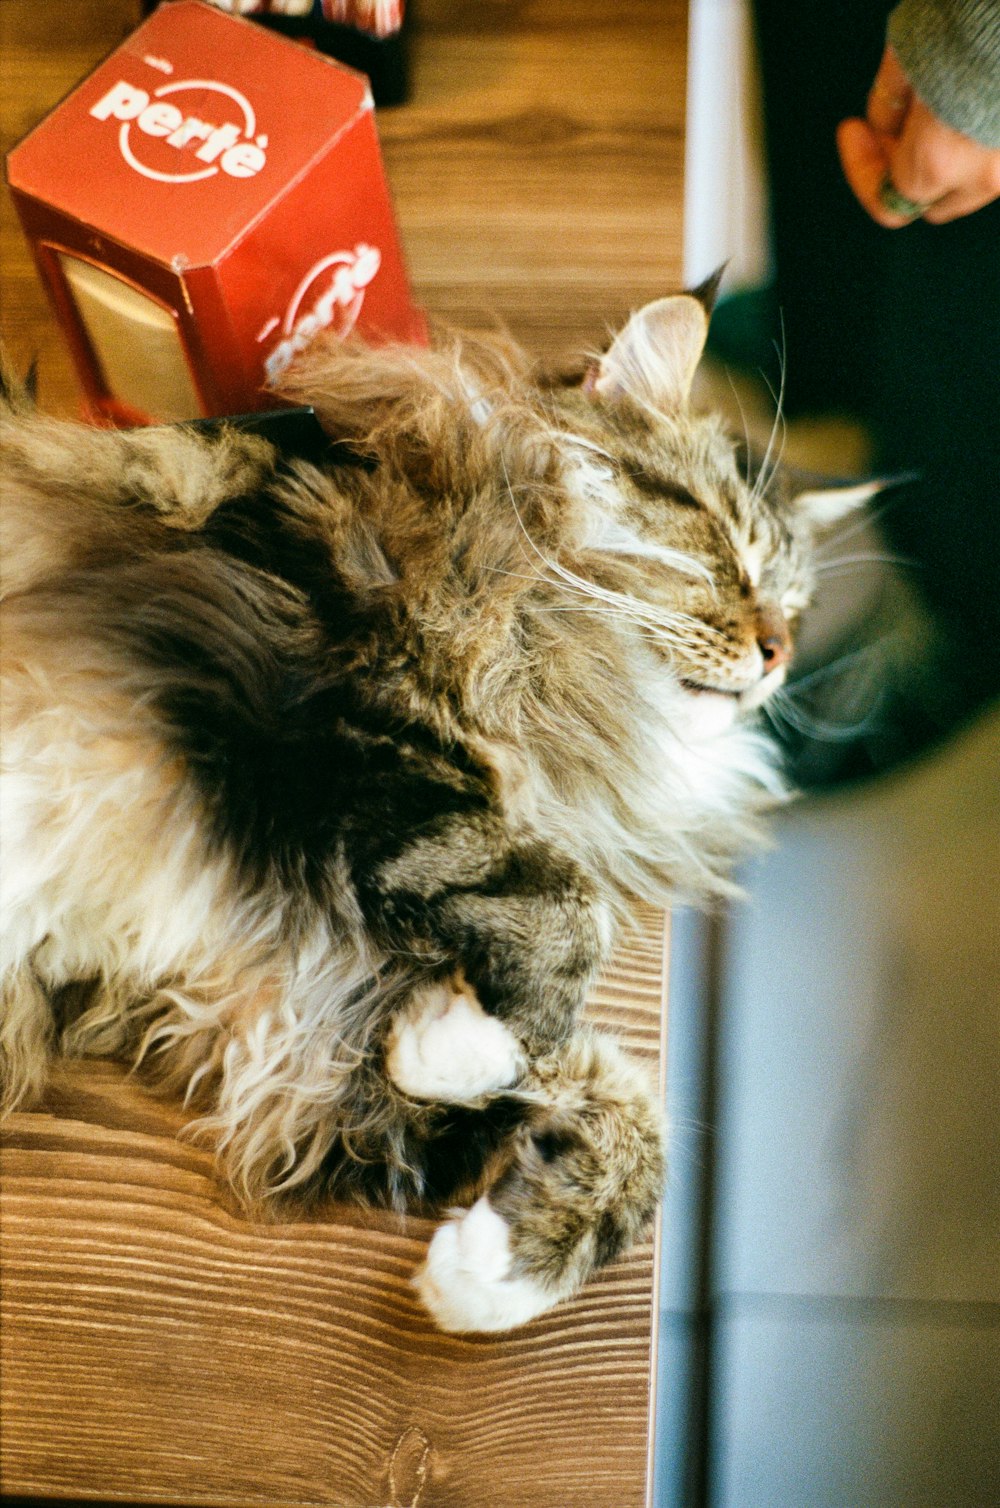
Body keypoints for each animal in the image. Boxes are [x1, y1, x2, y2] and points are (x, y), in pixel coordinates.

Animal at [0, 285, 868, 1333]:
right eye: (723, 547)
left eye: (796, 602)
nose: (781, 653)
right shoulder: (339, 722)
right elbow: (563, 907)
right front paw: (476, 1041)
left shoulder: (285, 1018)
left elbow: (634, 1111)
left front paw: (486, 1269)